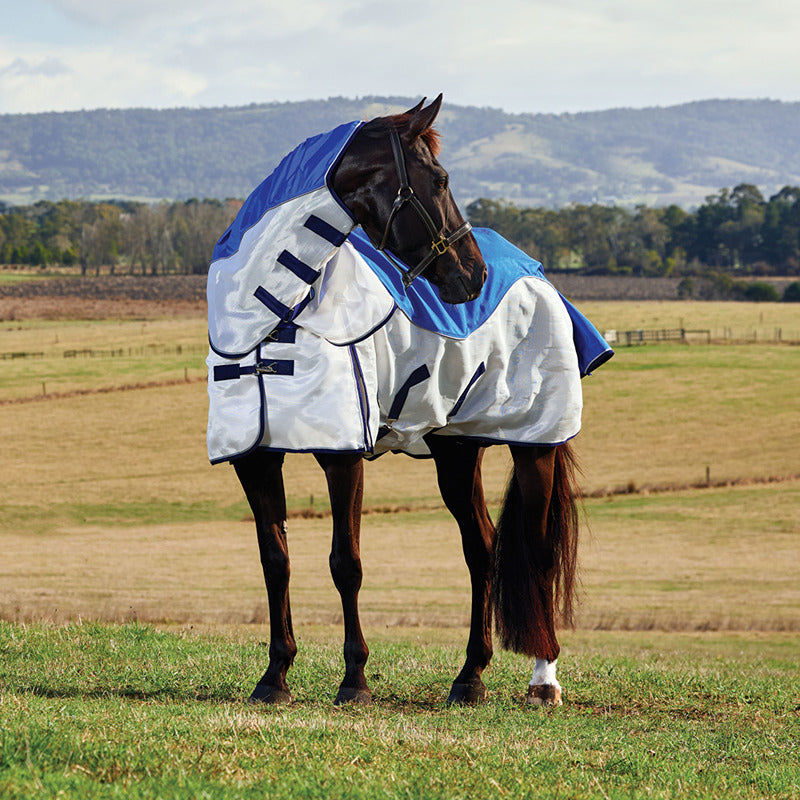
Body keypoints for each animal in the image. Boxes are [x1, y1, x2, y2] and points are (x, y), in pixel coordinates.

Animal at [208, 95, 604, 707]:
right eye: (439, 179)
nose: (473, 275)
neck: (268, 318)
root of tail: (536, 274)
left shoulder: (340, 455)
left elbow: (345, 563)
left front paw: (354, 680)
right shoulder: (254, 457)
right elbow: (275, 560)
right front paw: (274, 677)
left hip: (533, 445)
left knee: (536, 551)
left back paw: (544, 680)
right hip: (457, 450)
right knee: (481, 548)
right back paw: (470, 677)